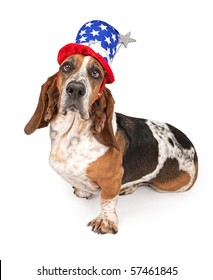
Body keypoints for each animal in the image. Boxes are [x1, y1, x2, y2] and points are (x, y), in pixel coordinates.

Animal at [24, 52, 198, 234]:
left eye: (96, 73)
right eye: (66, 67)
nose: (76, 89)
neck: (72, 137)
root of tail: (191, 147)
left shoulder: (113, 179)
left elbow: (106, 200)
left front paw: (105, 221)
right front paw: (83, 190)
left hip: (170, 185)